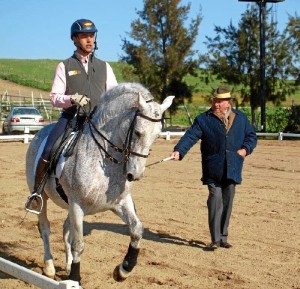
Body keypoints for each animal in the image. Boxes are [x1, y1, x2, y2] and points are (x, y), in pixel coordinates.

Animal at [25, 82, 175, 282]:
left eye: (157, 135)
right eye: (137, 132)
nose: (135, 174)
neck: (103, 159)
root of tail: (40, 133)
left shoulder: (120, 203)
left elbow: (136, 229)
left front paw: (123, 269)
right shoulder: (77, 206)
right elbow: (79, 244)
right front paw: (75, 278)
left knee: (65, 230)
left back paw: (67, 264)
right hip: (41, 196)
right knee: (45, 228)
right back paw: (49, 267)